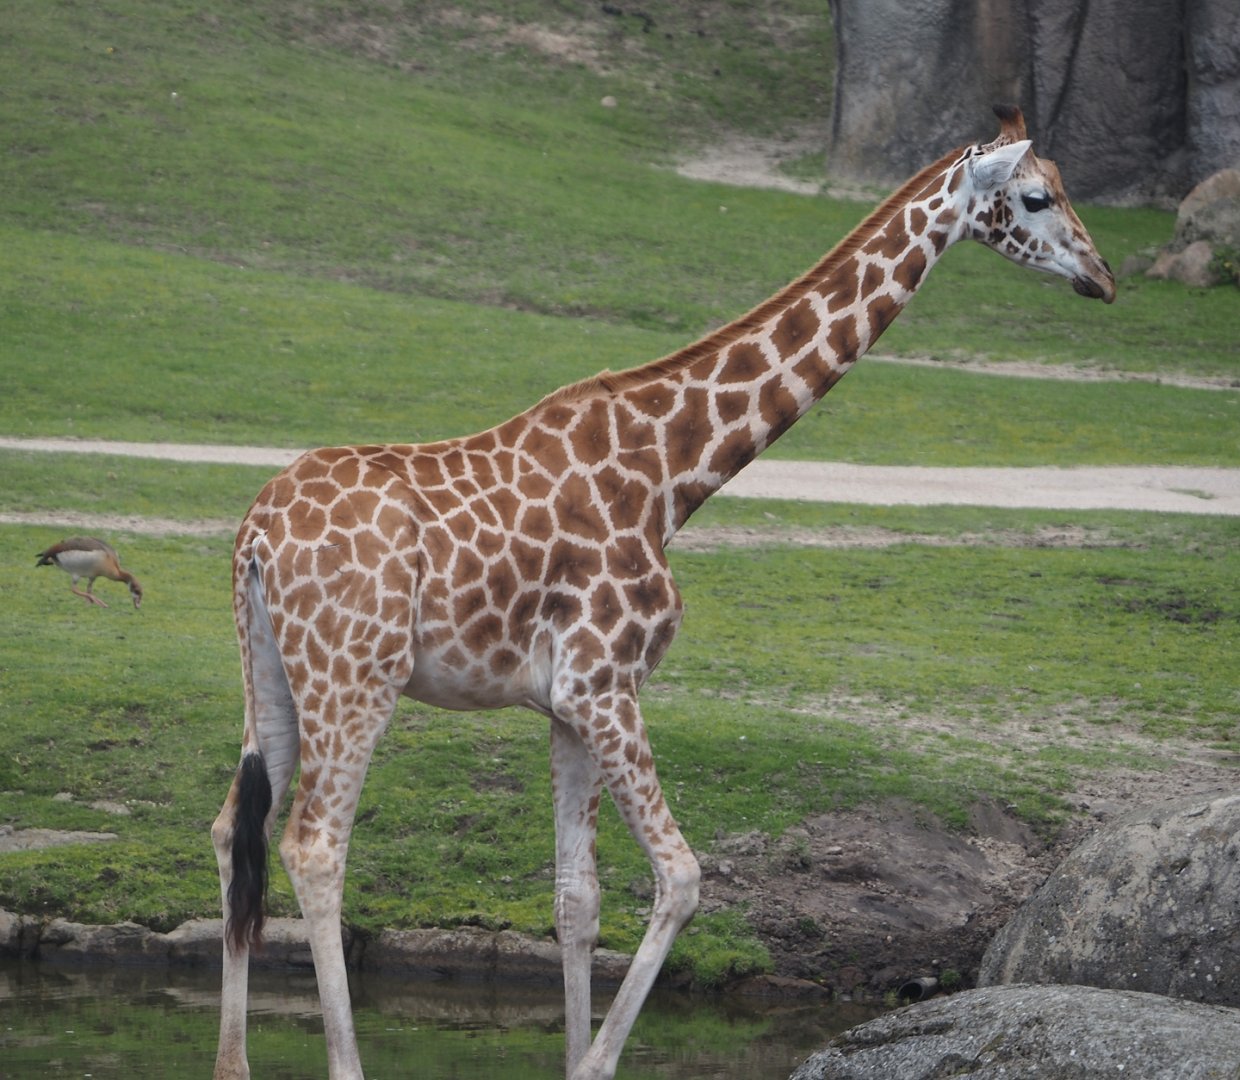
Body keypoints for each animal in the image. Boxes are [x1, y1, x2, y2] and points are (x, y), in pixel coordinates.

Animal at [212, 105, 1114, 1080]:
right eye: (1038, 196)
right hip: (356, 679)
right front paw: (597, 1060)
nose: (1104, 278)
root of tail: (256, 535)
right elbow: (681, 879)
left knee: (234, 831)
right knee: (314, 847)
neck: (674, 472)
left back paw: (231, 1063)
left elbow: (576, 900)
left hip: (269, 675)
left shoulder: (567, 704)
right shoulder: (605, 683)